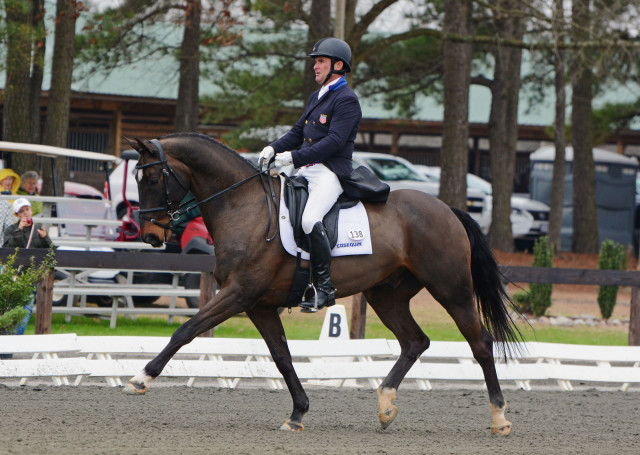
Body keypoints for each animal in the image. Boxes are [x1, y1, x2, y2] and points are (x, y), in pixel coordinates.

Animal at [127, 132, 524, 434]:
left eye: (152, 179)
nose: (149, 236)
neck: (243, 205)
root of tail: (447, 210)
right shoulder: (258, 304)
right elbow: (282, 357)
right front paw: (297, 413)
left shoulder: (238, 294)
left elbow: (186, 330)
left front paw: (142, 378)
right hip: (386, 296)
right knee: (415, 341)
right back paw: (385, 406)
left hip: (451, 290)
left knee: (481, 343)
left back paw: (500, 418)